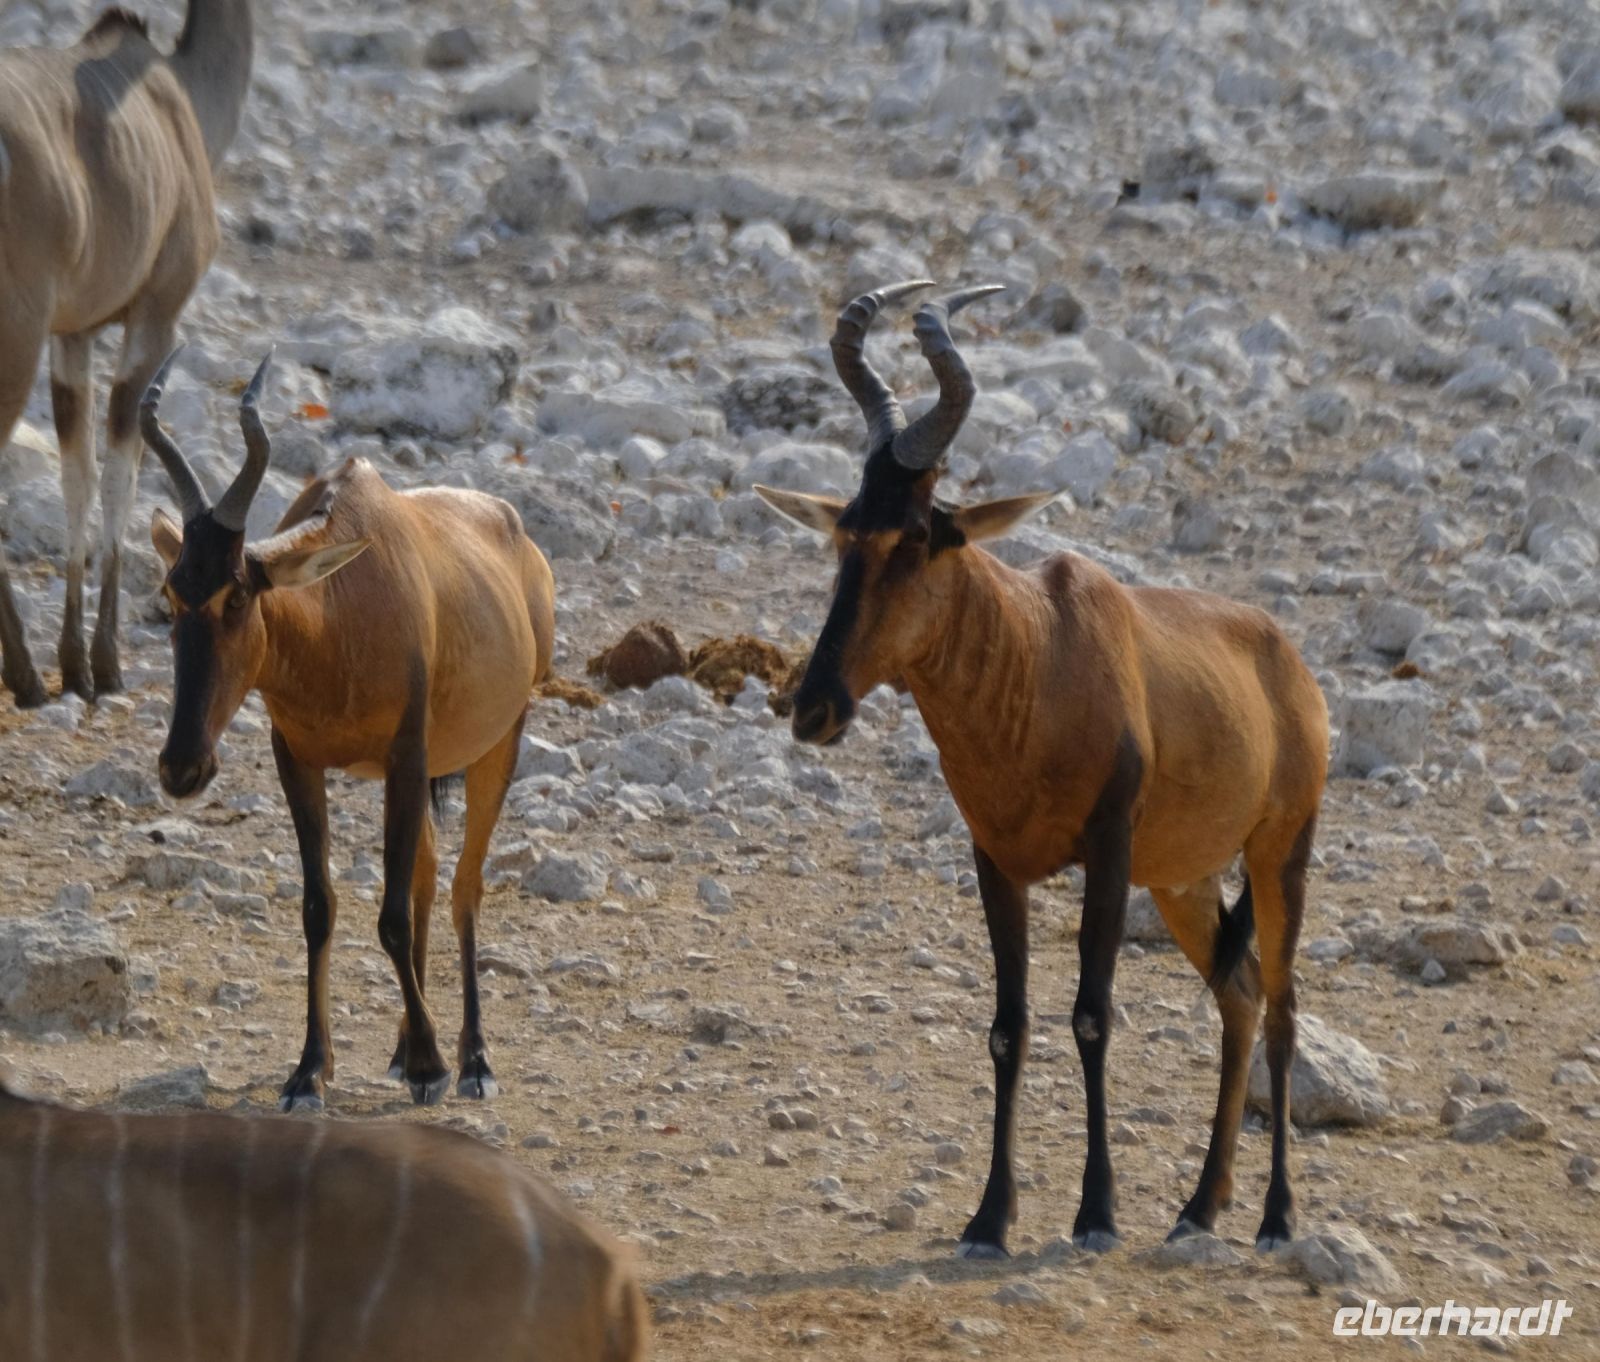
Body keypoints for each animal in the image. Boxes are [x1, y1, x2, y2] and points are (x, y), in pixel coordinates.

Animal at [0, 0, 254, 706]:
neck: (179, 95)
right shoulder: (155, 317)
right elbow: (122, 472)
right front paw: (102, 666)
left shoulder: (73, 334)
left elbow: (77, 475)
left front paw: (74, 663)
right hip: (16, 333)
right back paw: (23, 677)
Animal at [141, 352, 557, 1111]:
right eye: (172, 593)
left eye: (238, 594)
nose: (183, 768)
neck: (342, 605)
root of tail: (514, 530)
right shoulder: (298, 762)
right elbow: (320, 905)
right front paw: (310, 1071)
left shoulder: (404, 755)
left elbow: (390, 914)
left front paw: (431, 1068)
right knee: (426, 874)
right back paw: (402, 1049)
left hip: (497, 742)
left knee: (463, 884)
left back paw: (472, 1061)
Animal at [755, 281, 1329, 1256]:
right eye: (845, 532)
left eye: (919, 536)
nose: (815, 707)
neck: (1042, 648)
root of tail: (1287, 658)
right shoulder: (997, 863)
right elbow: (1007, 1027)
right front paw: (991, 1218)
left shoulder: (1107, 854)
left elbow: (1092, 1015)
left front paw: (1096, 1212)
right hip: (1182, 881)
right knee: (1242, 996)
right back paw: (1198, 1207)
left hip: (1278, 851)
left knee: (1285, 1008)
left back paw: (1278, 1217)